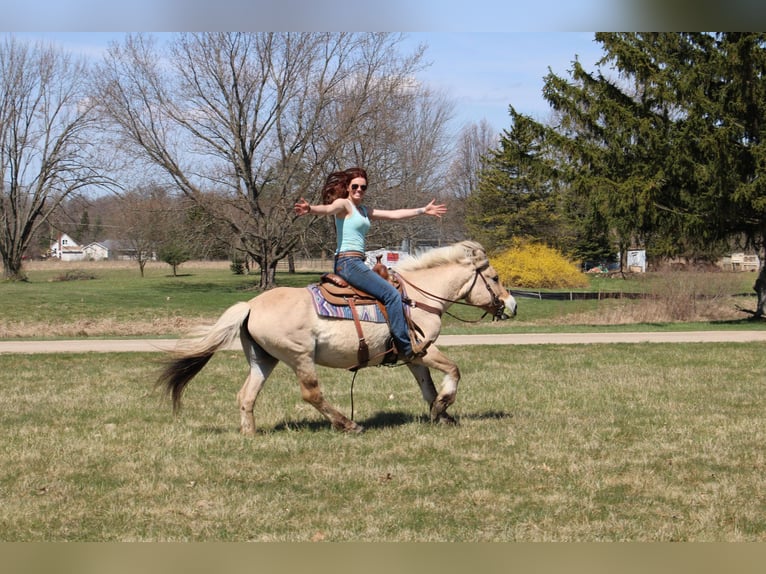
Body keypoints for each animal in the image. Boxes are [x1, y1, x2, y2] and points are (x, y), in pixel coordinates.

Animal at [155, 241, 516, 434]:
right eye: (496, 277)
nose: (511, 305)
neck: (416, 297)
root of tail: (251, 306)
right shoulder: (422, 348)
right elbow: (453, 370)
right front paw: (444, 405)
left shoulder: (412, 354)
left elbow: (427, 387)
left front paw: (441, 415)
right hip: (300, 357)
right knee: (312, 394)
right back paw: (347, 424)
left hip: (263, 359)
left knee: (246, 396)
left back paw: (250, 435)